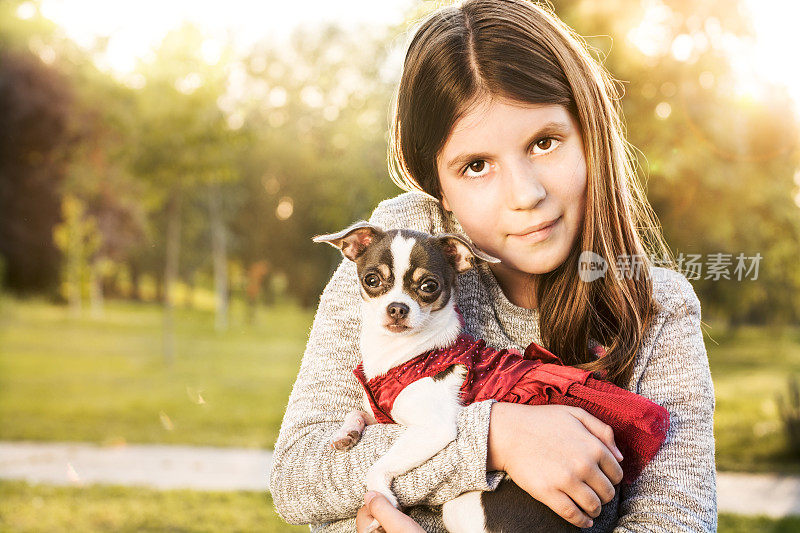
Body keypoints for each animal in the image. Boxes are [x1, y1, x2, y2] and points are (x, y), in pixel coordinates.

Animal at [312, 220, 668, 532]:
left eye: (429, 286)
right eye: (372, 280)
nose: (397, 308)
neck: (405, 354)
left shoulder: (433, 429)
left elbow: (379, 465)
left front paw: (380, 497)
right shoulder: (386, 414)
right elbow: (359, 412)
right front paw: (347, 432)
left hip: (462, 505)